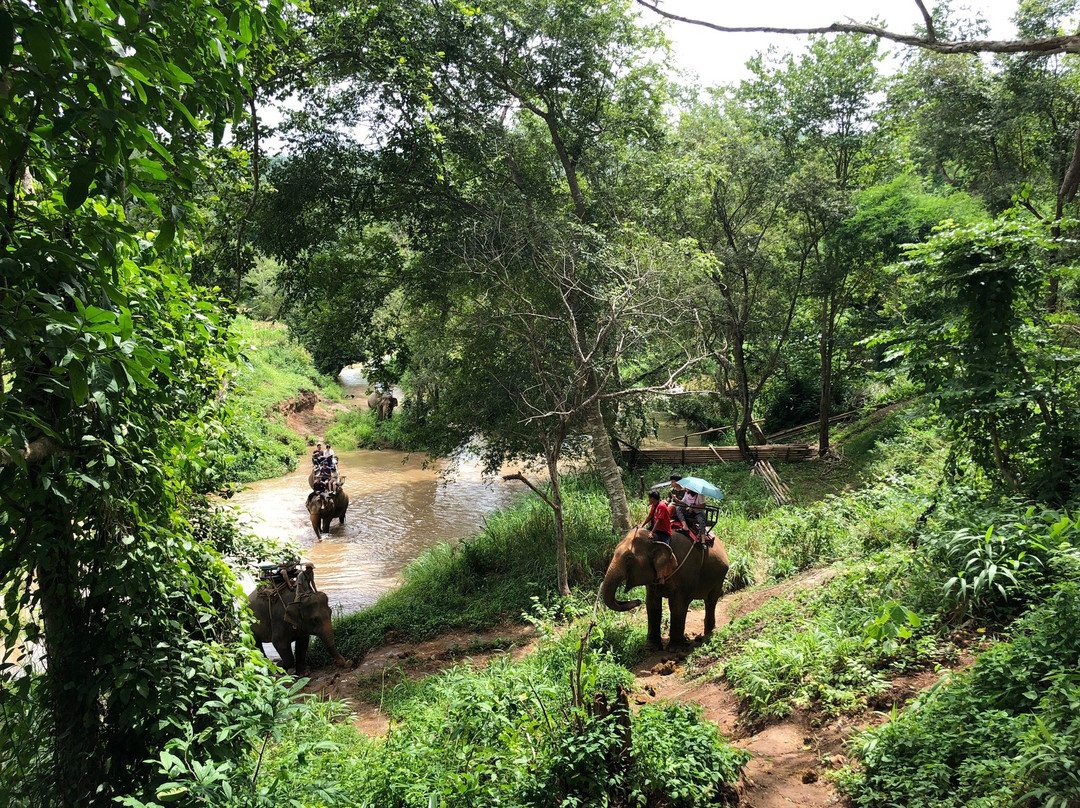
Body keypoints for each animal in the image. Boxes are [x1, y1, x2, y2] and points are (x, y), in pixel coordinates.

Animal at [600, 524, 734, 648]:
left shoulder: (685, 571)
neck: (658, 539)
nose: (637, 601)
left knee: (711, 601)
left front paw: (674, 649)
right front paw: (651, 647)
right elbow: (652, 604)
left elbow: (677, 605)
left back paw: (708, 634)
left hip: (719, 577)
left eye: (629, 558)